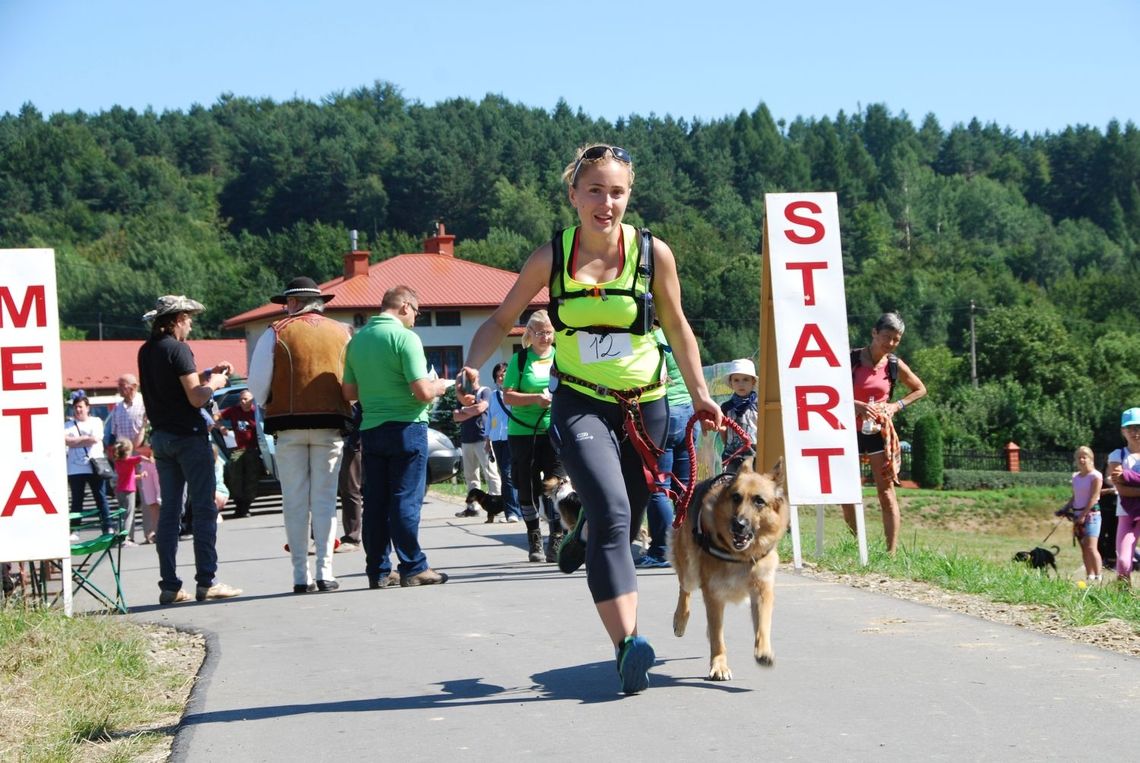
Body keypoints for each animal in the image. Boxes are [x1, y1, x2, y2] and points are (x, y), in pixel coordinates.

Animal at [665, 456, 793, 679]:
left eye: (759, 501)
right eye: (736, 497)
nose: (738, 525)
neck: (740, 556)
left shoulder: (762, 591)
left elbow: (763, 625)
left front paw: (764, 651)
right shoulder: (713, 594)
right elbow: (718, 637)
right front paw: (719, 666)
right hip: (690, 572)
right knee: (684, 590)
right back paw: (680, 620)